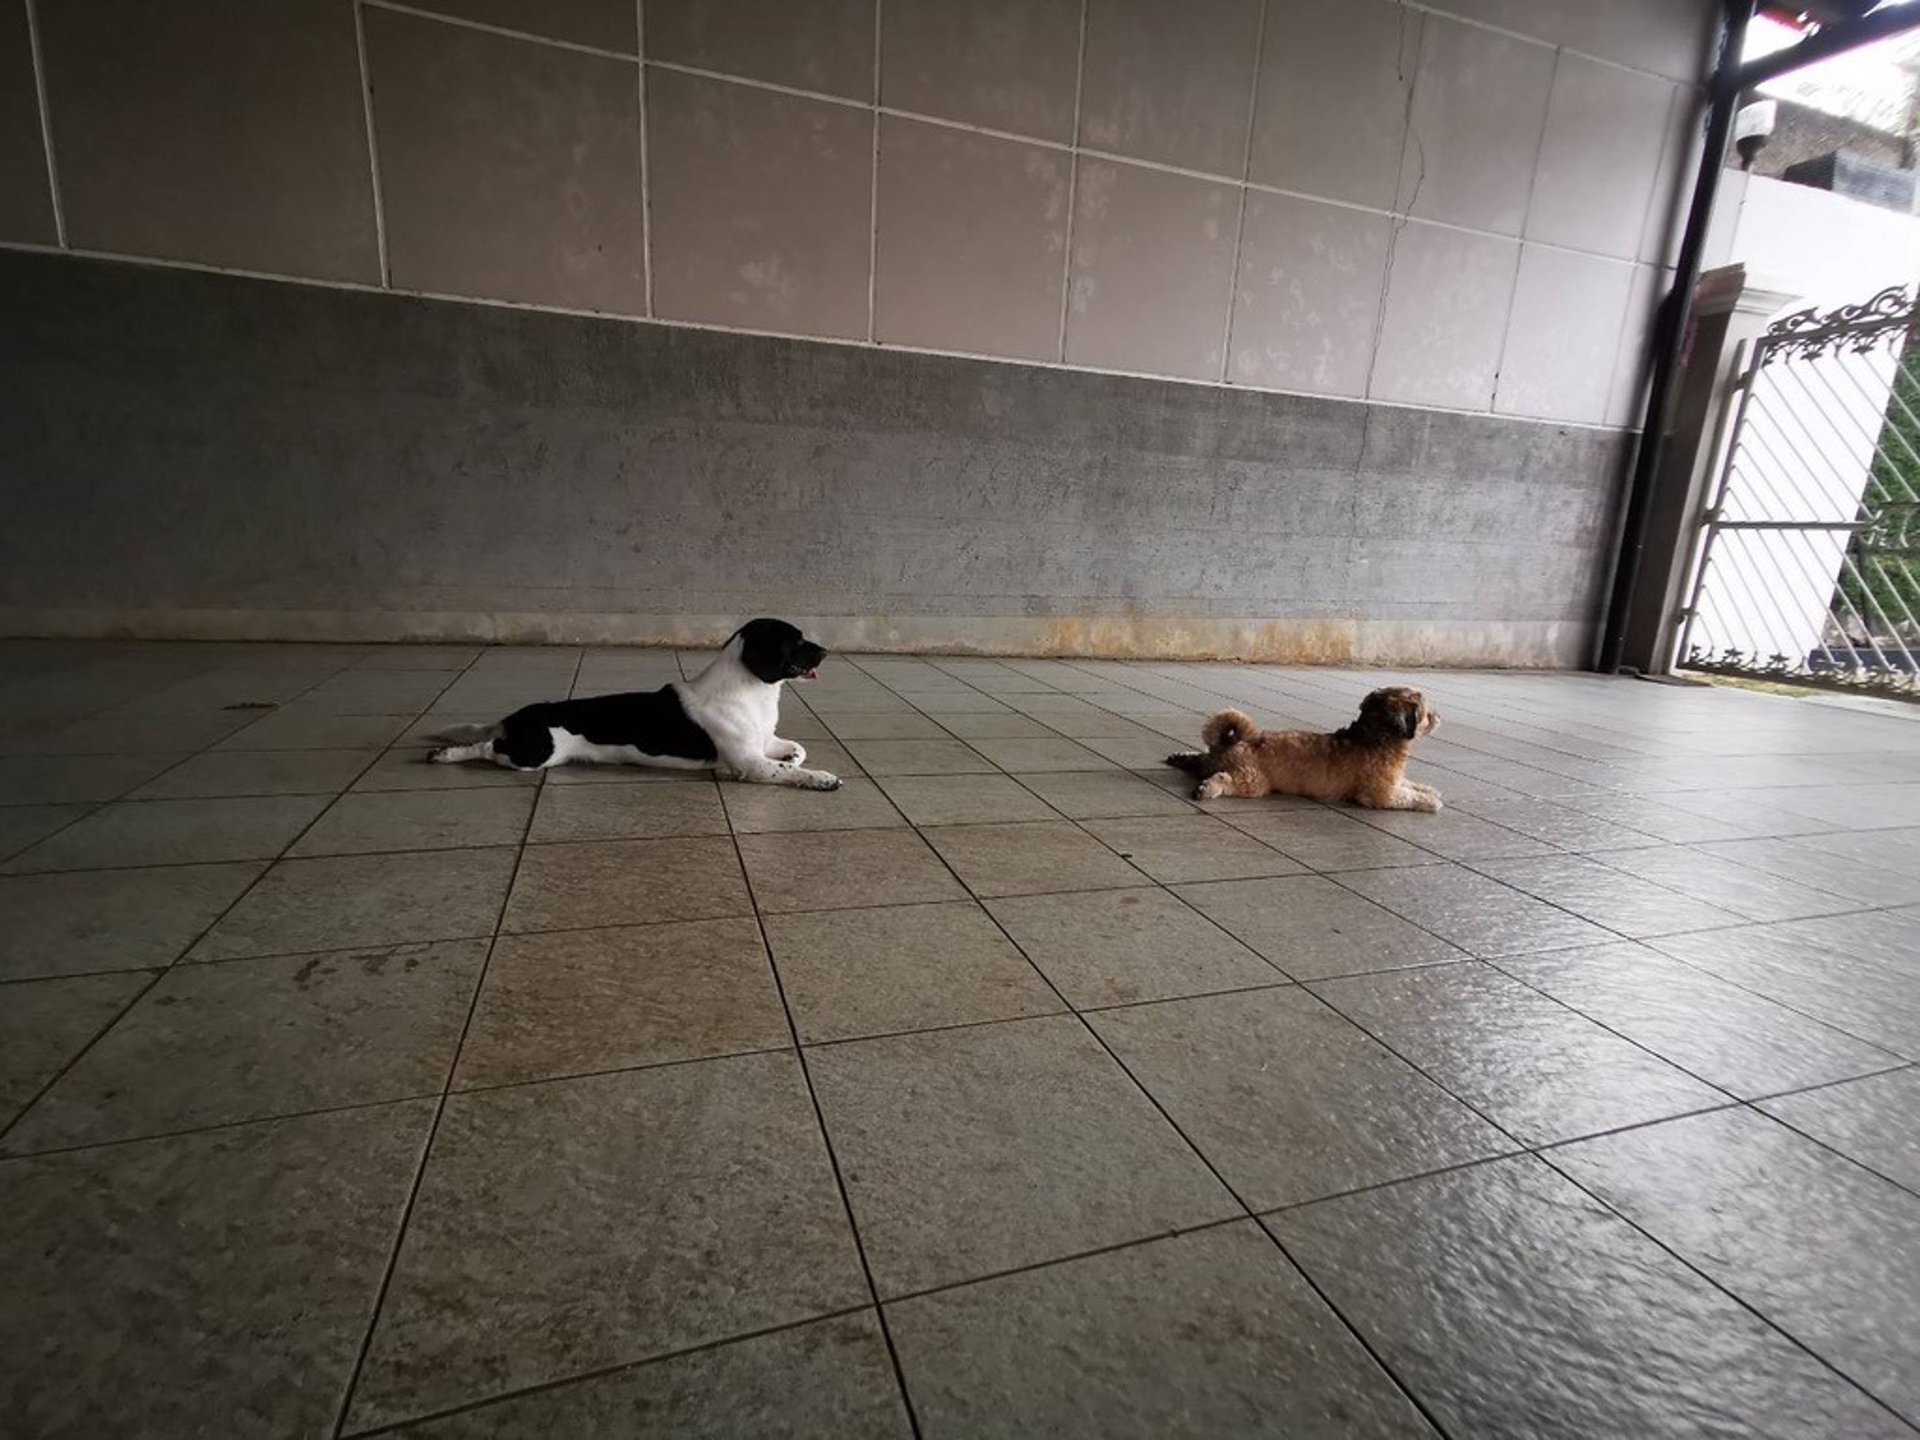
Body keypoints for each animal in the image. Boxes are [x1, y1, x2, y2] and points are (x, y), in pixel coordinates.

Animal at [428, 622, 840, 794]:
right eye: (796, 641)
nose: (826, 650)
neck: (751, 693)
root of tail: (513, 718)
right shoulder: (751, 762)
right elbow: (789, 771)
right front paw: (821, 778)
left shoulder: (763, 743)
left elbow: (796, 752)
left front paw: (793, 760)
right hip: (535, 753)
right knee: (485, 748)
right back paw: (446, 754)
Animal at [1167, 687, 1443, 814]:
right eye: (1425, 714)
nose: (1437, 716)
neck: (1373, 737)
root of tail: (1238, 741)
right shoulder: (1380, 794)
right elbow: (1406, 796)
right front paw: (1430, 801)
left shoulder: (1393, 781)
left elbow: (1409, 785)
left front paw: (1429, 790)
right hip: (1252, 780)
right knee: (1224, 777)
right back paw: (1208, 787)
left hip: (1214, 759)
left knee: (1202, 759)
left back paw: (1181, 757)